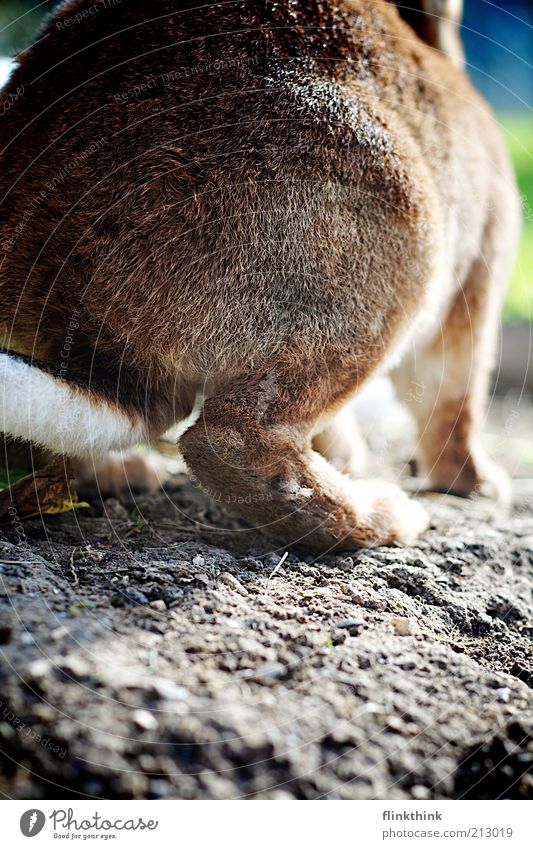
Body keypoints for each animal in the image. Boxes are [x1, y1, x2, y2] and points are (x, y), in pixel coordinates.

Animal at [0, 0, 516, 552]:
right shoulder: (475, 282)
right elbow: (455, 398)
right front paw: (479, 485)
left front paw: (346, 453)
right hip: (385, 241)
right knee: (232, 437)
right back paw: (386, 516)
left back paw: (128, 474)